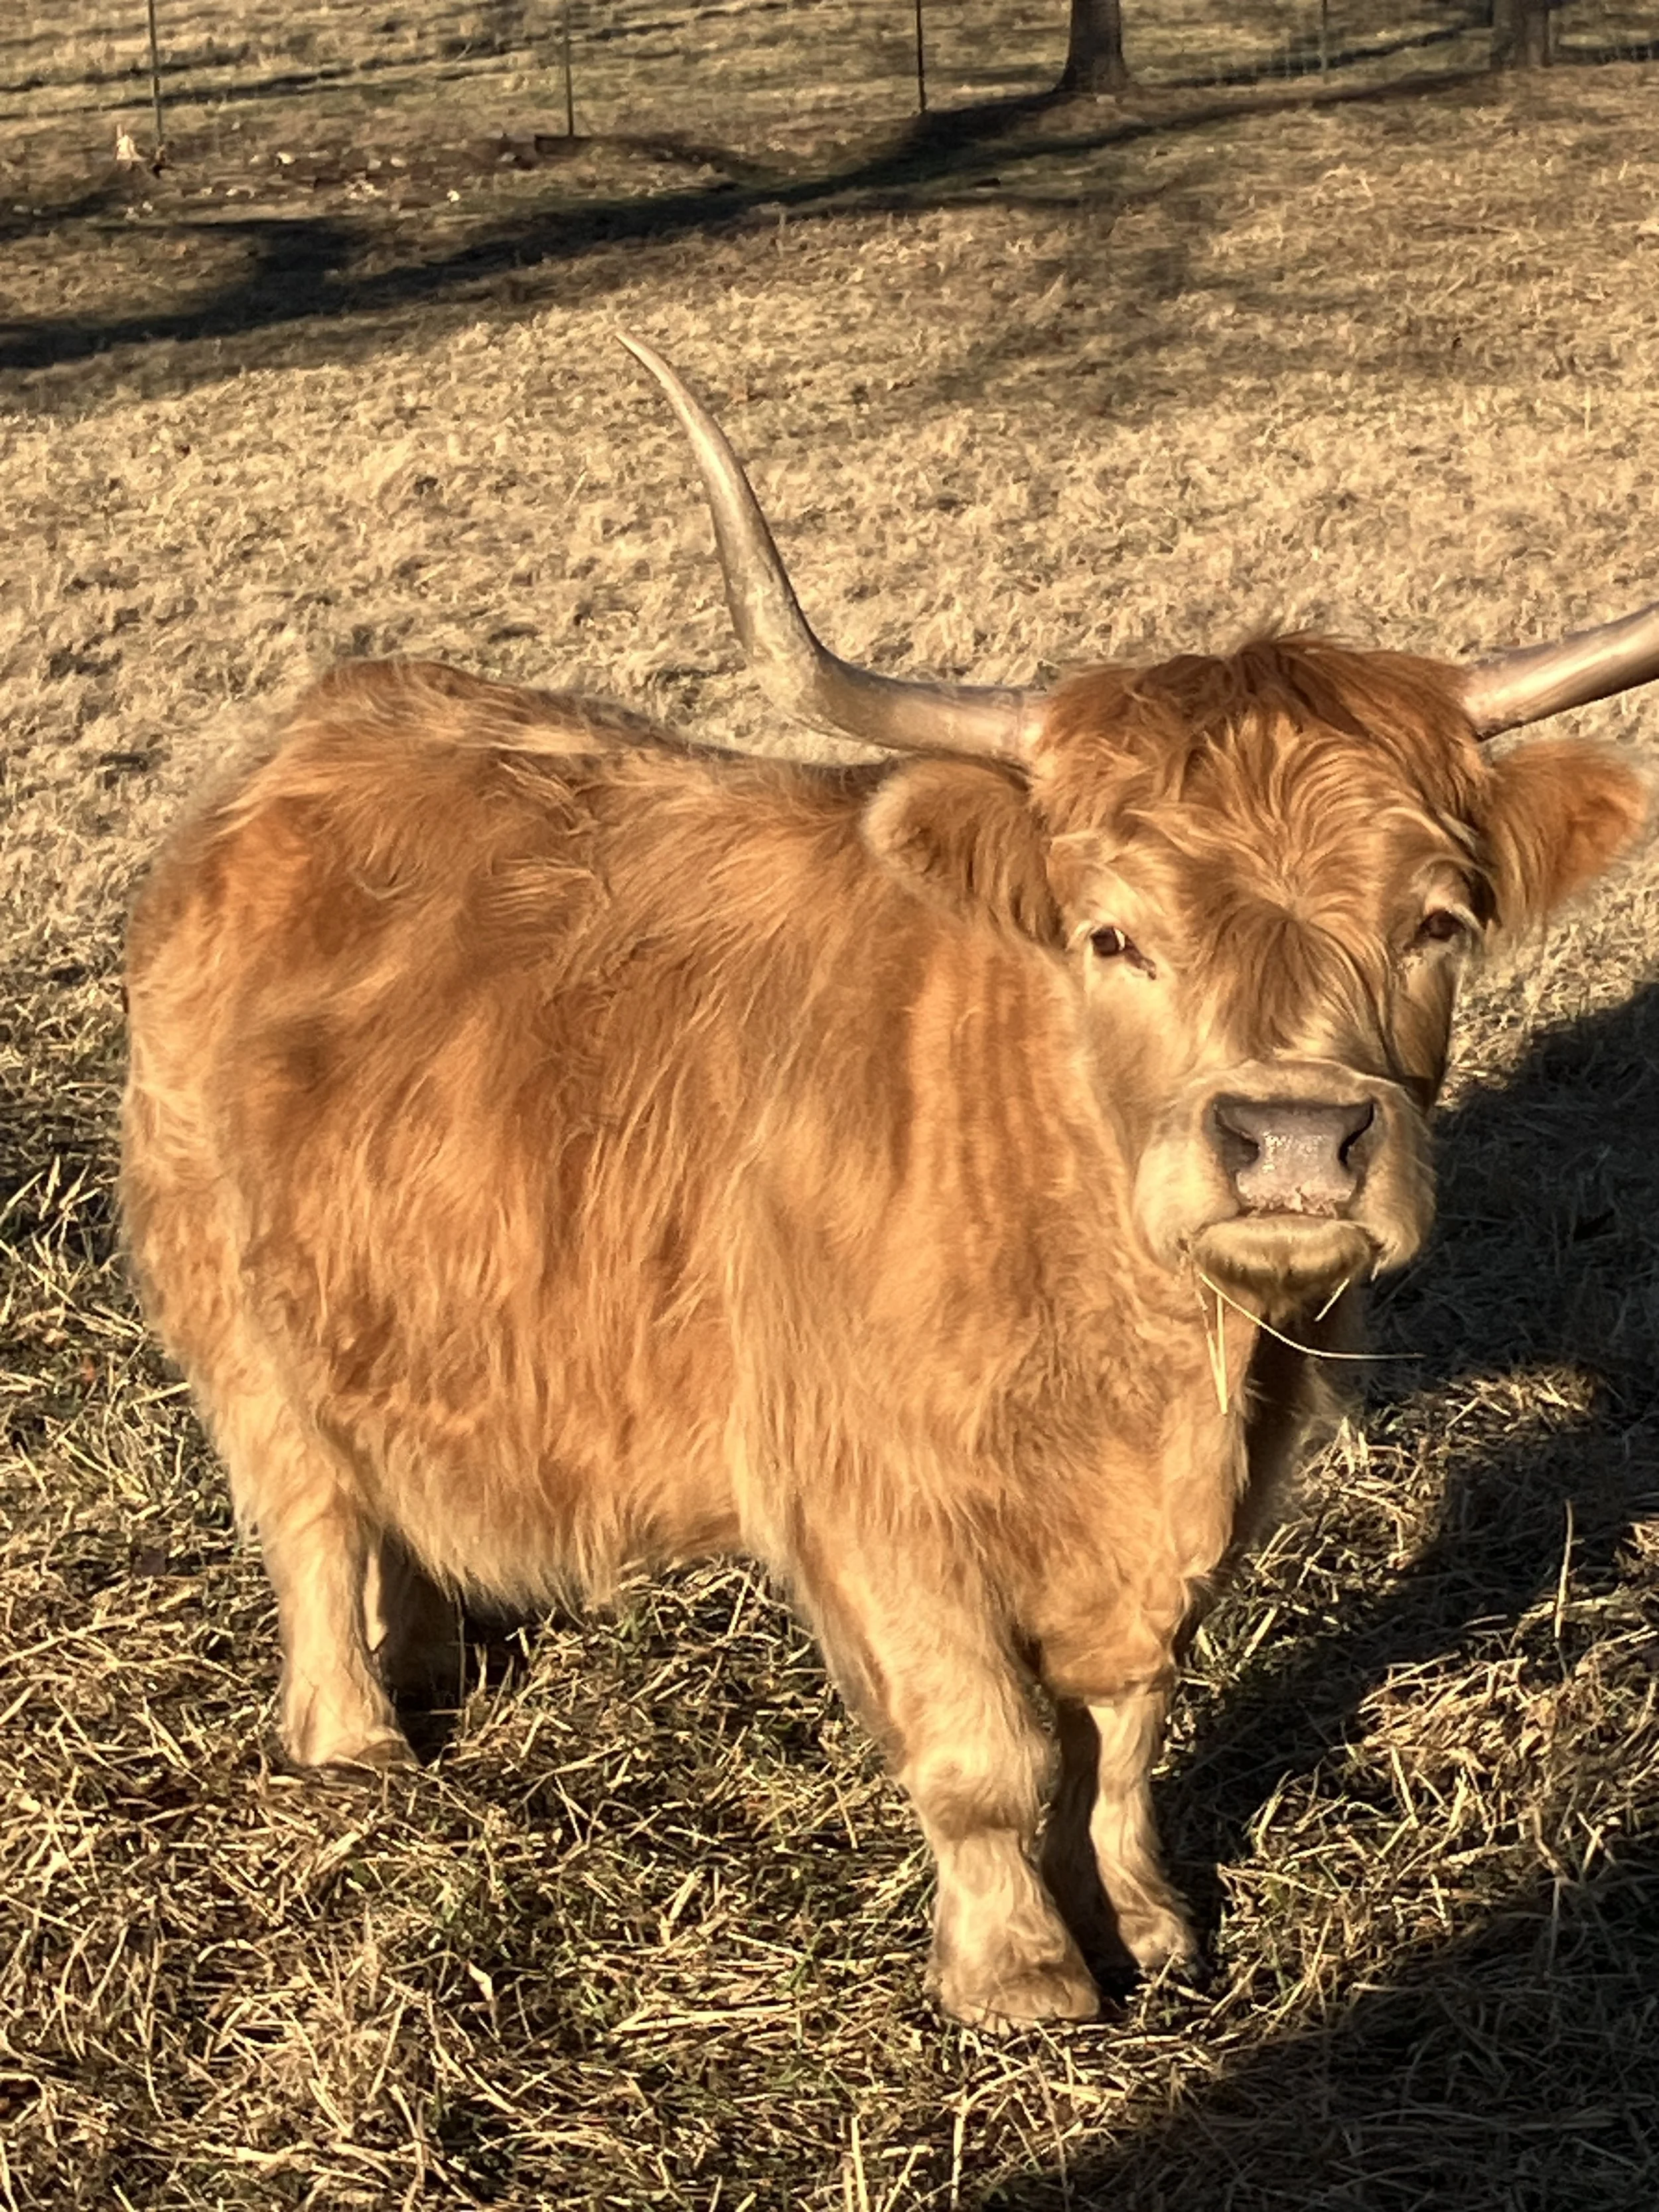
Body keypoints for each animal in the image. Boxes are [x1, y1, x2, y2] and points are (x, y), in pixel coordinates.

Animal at [120, 335, 1658, 2027]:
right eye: (1112, 933)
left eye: (1434, 921)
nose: (1296, 1140)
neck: (1134, 1353)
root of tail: (313, 730)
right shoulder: (872, 1491)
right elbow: (990, 1747)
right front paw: (1023, 1975)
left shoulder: (1201, 1502)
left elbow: (1124, 1730)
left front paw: (1146, 1922)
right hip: (231, 1305)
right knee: (309, 1510)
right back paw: (358, 1744)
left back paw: (432, 1650)